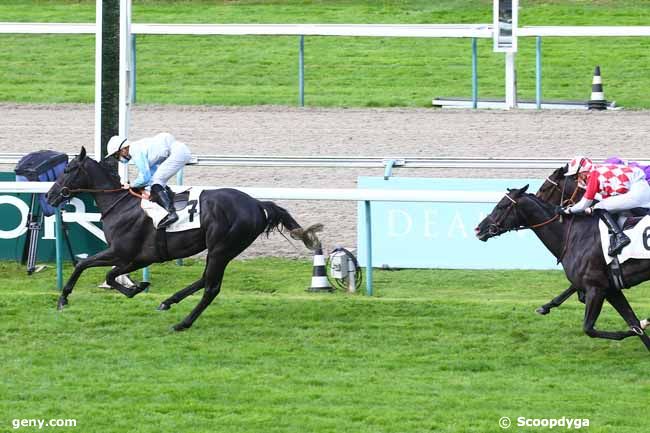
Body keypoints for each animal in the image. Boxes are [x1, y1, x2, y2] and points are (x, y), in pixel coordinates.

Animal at [44, 147, 322, 330]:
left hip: (221, 248)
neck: (120, 205)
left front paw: (63, 299)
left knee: (211, 287)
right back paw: (168, 302)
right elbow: (109, 275)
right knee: (205, 280)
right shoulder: (138, 258)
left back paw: (183, 323)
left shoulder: (122, 252)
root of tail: (257, 204)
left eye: (67, 169)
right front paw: (137, 287)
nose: (49, 195)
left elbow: (86, 265)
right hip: (223, 250)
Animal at [474, 185, 648, 352]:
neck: (573, 236)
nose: (478, 229)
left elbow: (589, 328)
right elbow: (633, 321)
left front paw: (639, 326)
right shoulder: (611, 289)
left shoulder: (596, 288)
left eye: (502, 206)